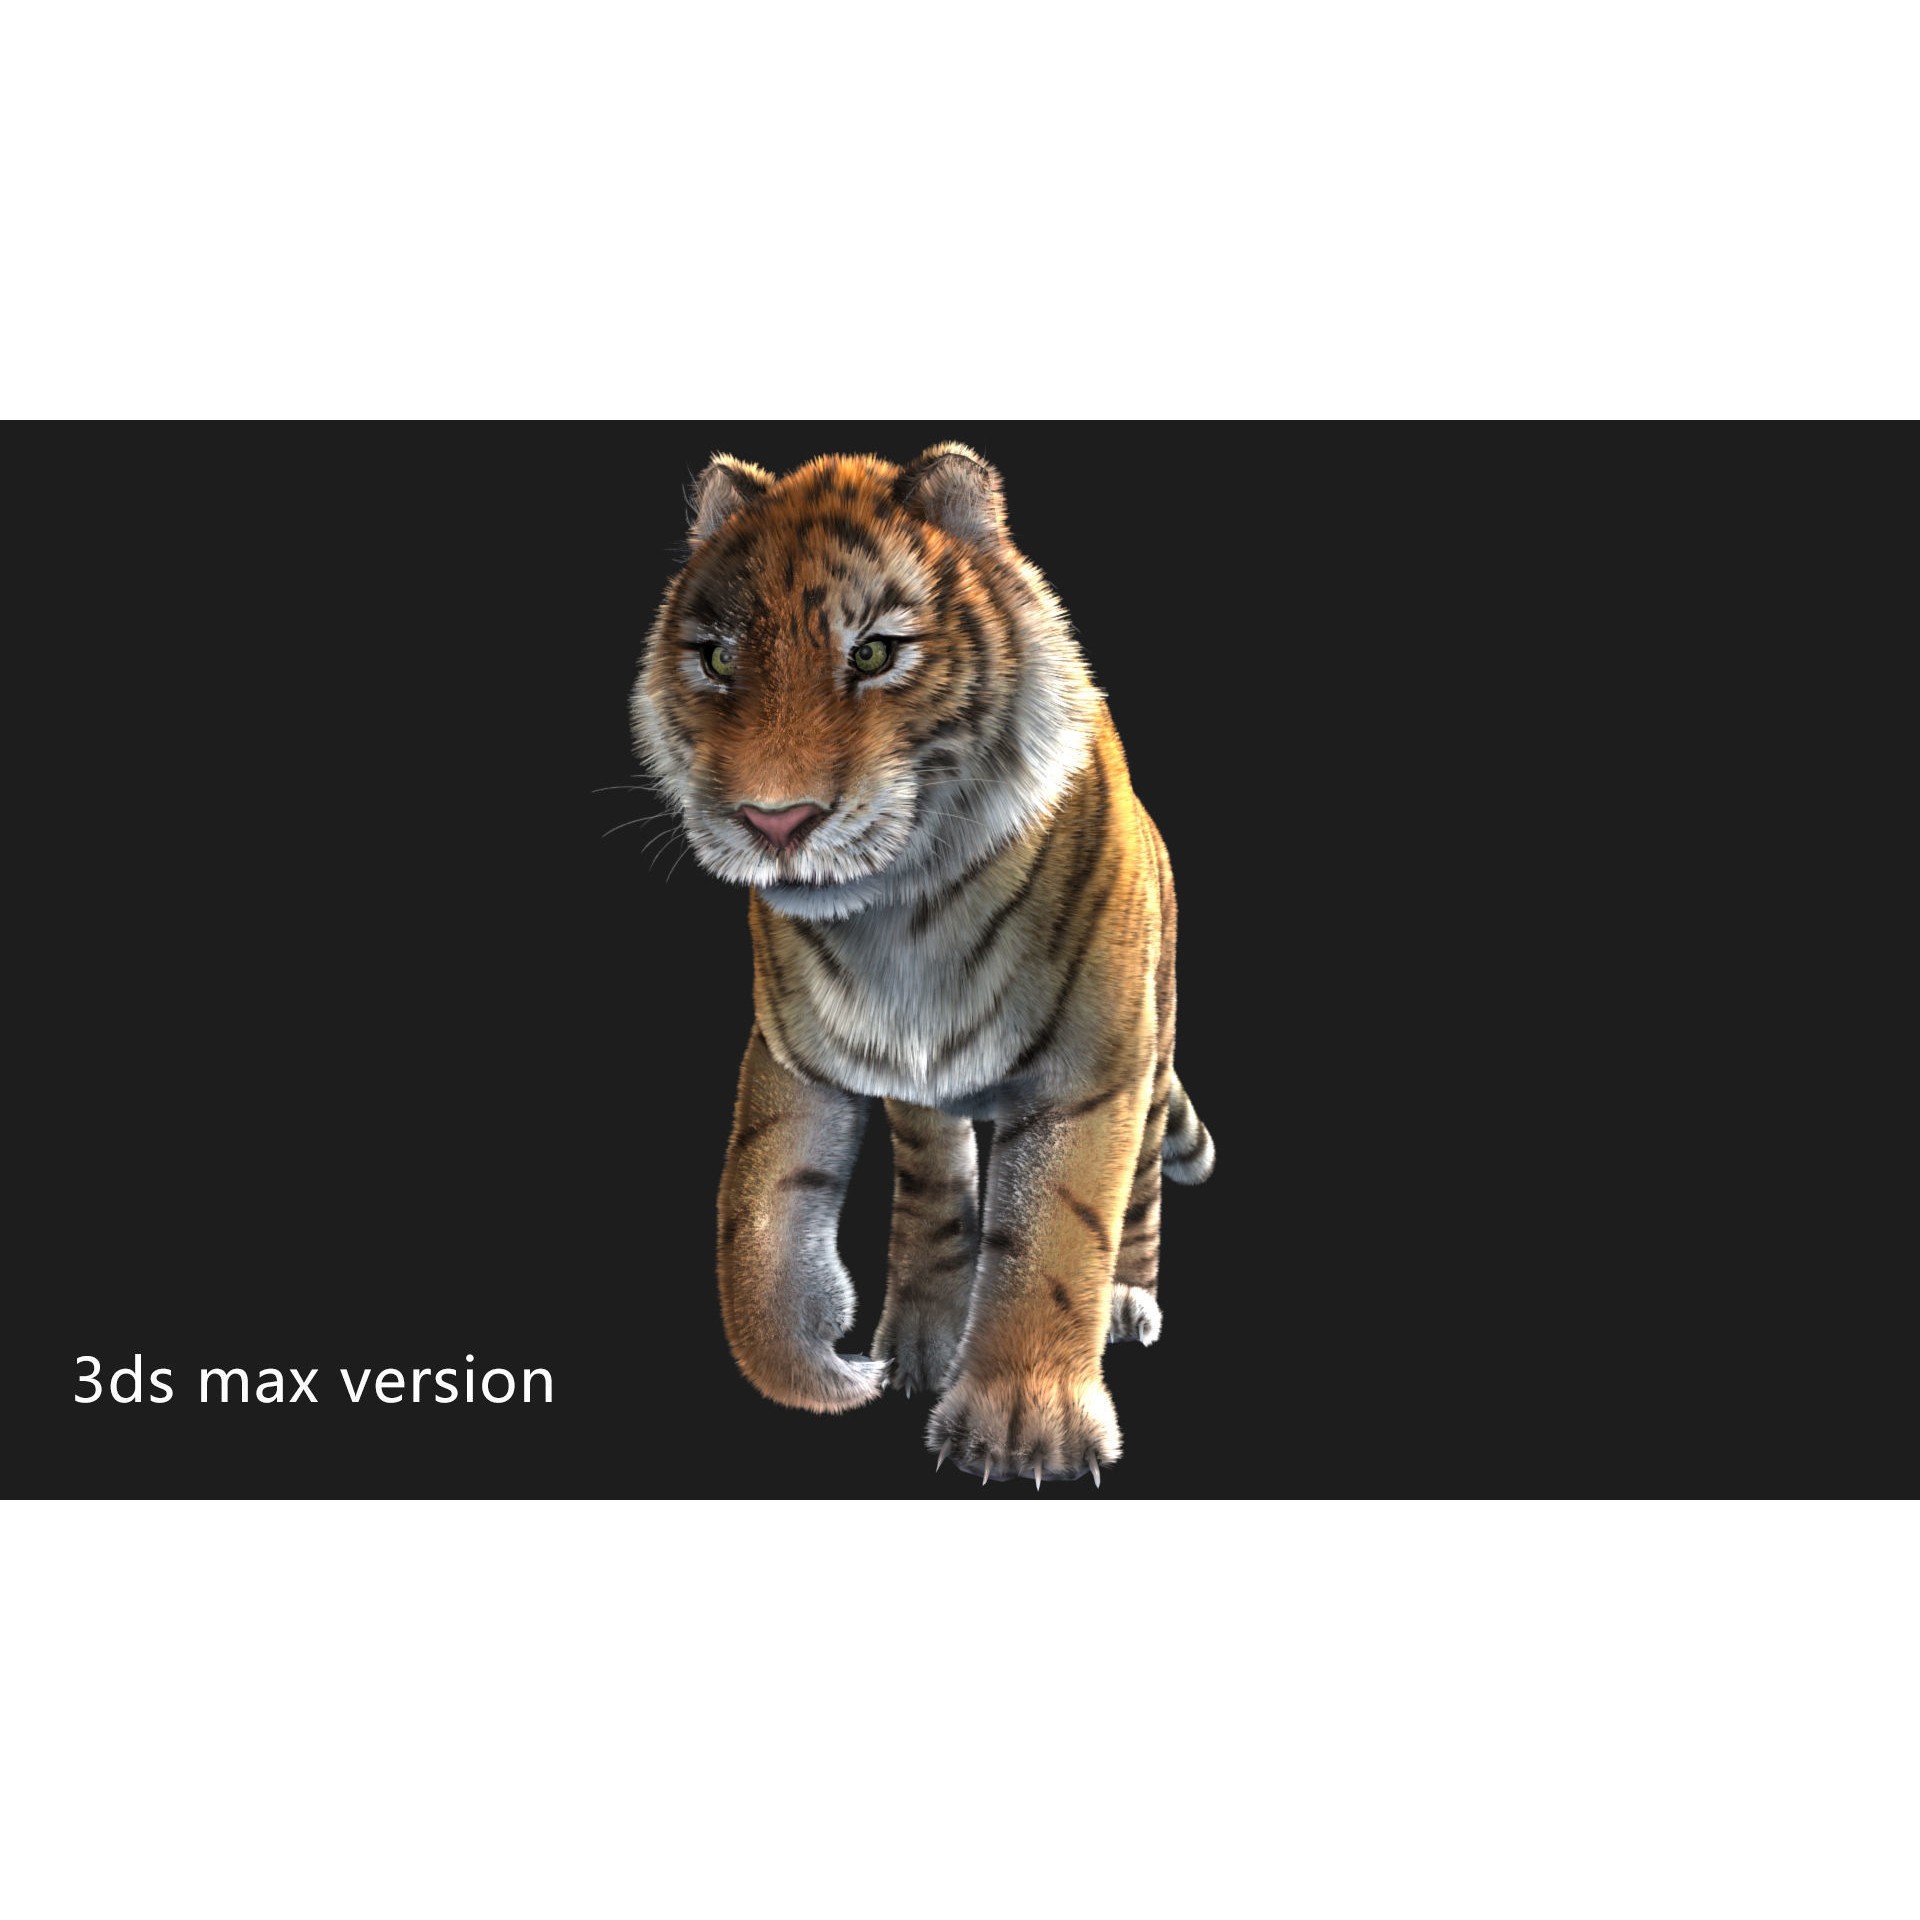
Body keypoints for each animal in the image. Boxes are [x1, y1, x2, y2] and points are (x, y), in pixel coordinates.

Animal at [629, 443, 1214, 1484]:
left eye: (872, 654)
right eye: (719, 658)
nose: (775, 821)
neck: (898, 918)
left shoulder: (1090, 1069)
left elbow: (1053, 1233)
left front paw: (1023, 1427)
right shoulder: (796, 1048)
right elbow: (760, 1209)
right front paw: (821, 1369)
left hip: (1151, 1043)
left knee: (1140, 1186)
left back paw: (1127, 1299)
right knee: (936, 1182)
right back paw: (922, 1338)